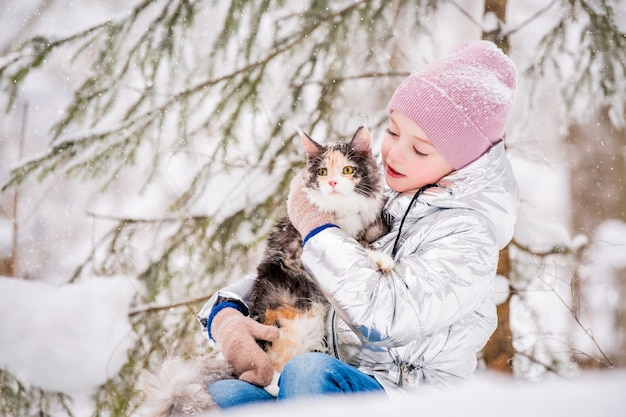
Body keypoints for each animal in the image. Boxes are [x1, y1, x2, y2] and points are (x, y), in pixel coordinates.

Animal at [140, 125, 390, 414]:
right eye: (322, 172)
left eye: (348, 170)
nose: (333, 184)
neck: (343, 211)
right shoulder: (297, 253)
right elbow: (355, 243)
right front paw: (382, 258)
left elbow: (365, 234)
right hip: (297, 323)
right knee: (270, 374)